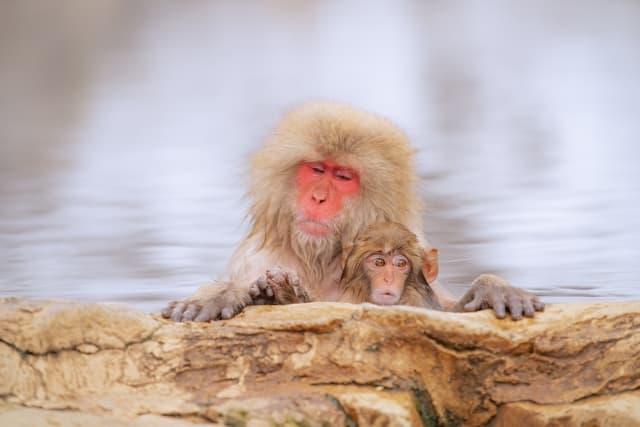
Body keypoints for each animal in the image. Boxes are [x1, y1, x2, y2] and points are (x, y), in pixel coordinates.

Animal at [161, 102, 543, 322]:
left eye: (343, 177)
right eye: (316, 170)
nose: (317, 198)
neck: (323, 260)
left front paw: (491, 288)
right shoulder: (256, 260)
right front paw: (224, 293)